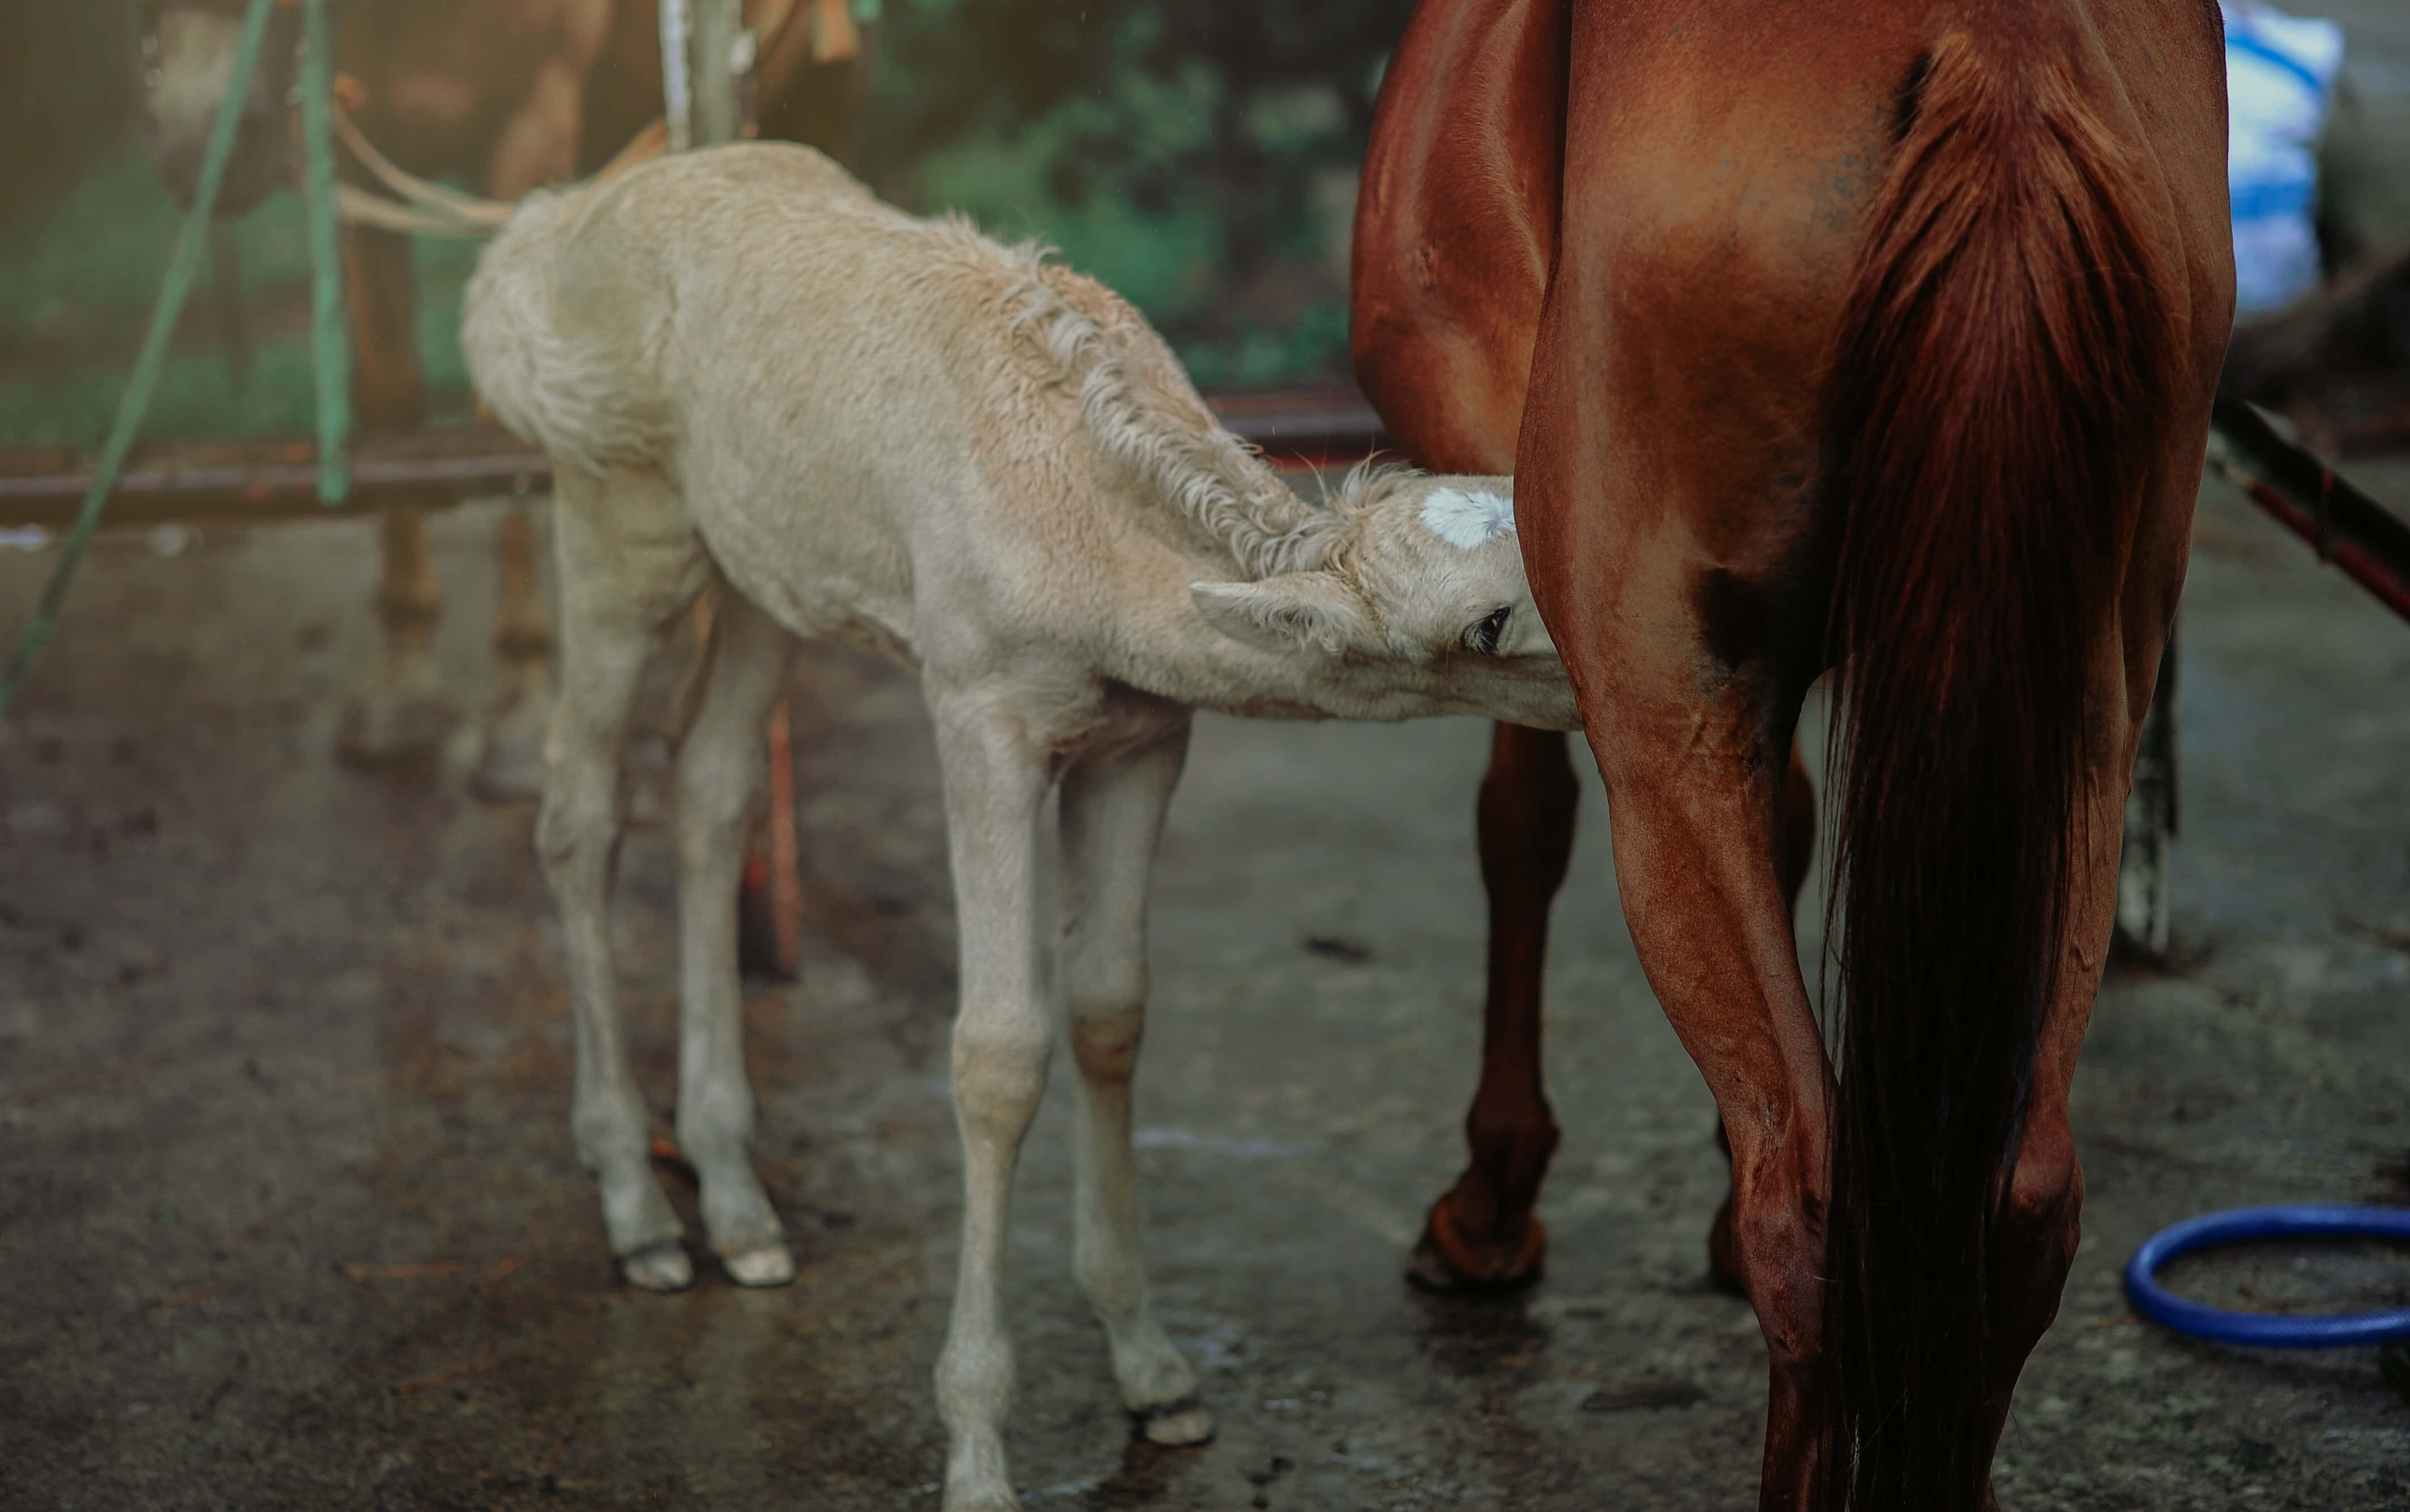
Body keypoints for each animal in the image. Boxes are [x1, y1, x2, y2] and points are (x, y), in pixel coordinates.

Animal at [135, 0, 865, 795]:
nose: (200, 145)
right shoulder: (361, 168)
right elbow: (391, 391)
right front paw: (401, 684)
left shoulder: (528, 131)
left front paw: (519, 707)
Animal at [463, 140, 1579, 1508]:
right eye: (1485, 622)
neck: (1091, 552)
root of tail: (542, 234)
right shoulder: (977, 708)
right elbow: (996, 1052)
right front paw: (978, 1454)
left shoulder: (1146, 736)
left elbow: (1109, 1011)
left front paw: (1157, 1376)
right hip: (614, 515)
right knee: (575, 807)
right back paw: (638, 1215)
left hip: (764, 571)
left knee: (709, 784)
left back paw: (738, 1210)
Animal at [1353, 2, 2234, 1507]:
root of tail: (1999, 51)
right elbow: (1794, 825)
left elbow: (1519, 824)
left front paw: (1491, 1202)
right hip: (2081, 724)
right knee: (2022, 1204)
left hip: (1658, 711)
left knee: (1809, 1215)